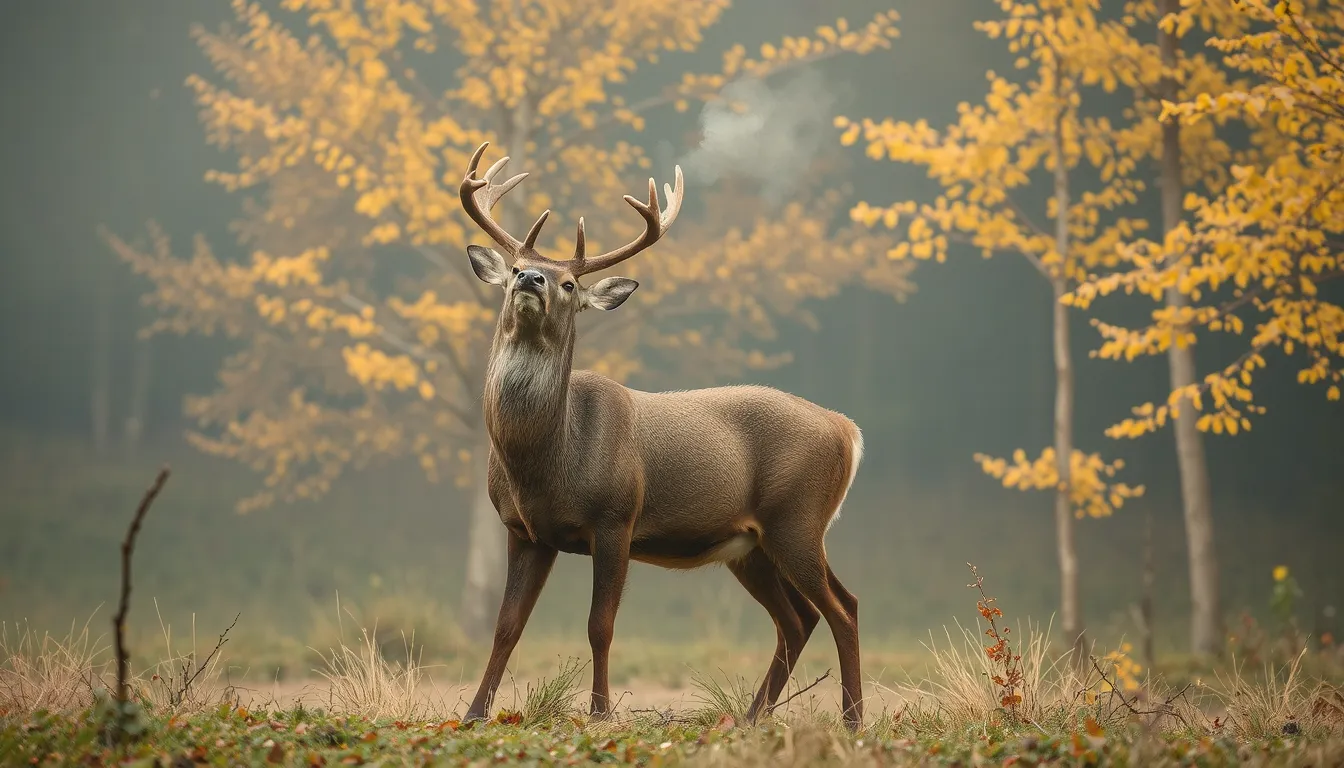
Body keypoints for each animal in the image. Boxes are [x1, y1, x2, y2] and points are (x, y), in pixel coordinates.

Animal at [457, 142, 867, 730]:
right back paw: (751, 717)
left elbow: (600, 625)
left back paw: (852, 719)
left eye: (569, 284)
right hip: (751, 545)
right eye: (514, 267)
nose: (531, 280)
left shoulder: (616, 518)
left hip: (799, 518)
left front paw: (601, 713)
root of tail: (847, 429)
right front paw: (473, 714)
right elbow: (506, 625)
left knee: (843, 607)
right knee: (799, 619)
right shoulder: (524, 529)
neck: (546, 462)